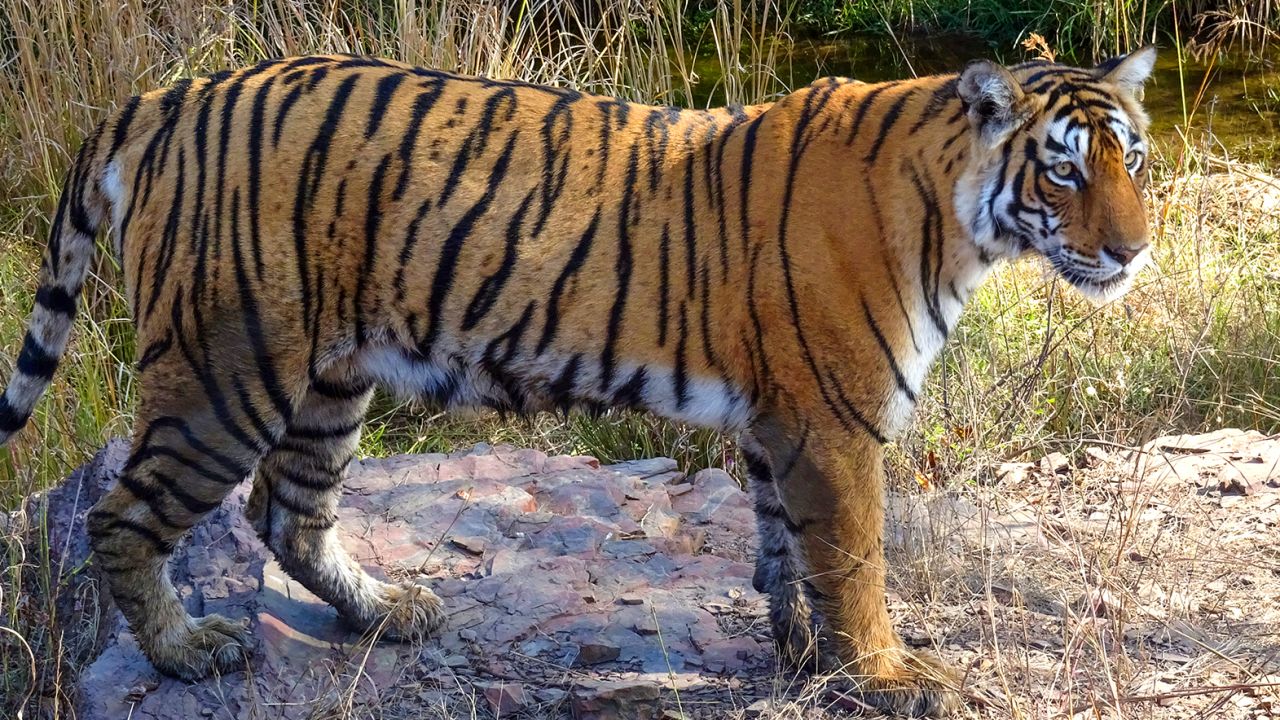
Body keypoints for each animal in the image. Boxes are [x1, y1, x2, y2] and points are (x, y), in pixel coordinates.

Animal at [0, 48, 1154, 716]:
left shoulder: (781, 416)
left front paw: (803, 658)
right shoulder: (834, 418)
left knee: (288, 510)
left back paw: (387, 611)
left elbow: (787, 547)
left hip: (331, 376)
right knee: (124, 516)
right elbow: (856, 558)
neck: (963, 222)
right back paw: (184, 652)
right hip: (226, 370)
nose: (1134, 252)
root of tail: (169, 94)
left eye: (1132, 159)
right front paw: (886, 676)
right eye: (1062, 168)